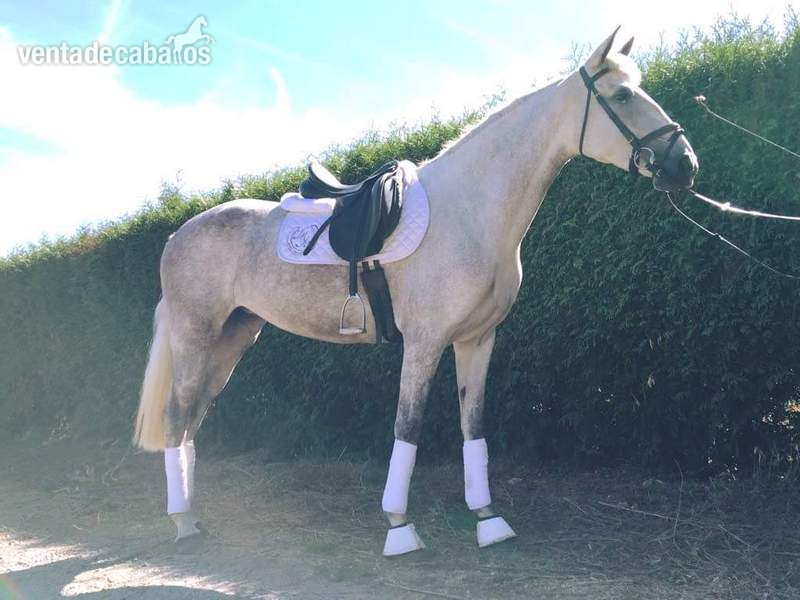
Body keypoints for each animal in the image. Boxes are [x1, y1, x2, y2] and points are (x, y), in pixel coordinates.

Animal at [133, 28, 698, 555]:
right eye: (621, 95)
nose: (685, 164)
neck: (468, 210)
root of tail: (176, 235)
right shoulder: (424, 342)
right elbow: (409, 426)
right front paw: (398, 527)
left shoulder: (477, 340)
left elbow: (474, 425)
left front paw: (487, 519)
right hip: (196, 335)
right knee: (178, 415)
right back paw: (183, 521)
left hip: (234, 336)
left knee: (193, 419)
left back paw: (192, 513)